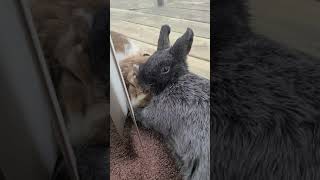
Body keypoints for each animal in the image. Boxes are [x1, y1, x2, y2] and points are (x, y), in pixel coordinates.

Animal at [133, 25, 210, 180]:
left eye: (165, 69)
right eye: (150, 58)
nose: (140, 81)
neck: (175, 82)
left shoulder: (158, 112)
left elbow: (144, 115)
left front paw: (132, 110)